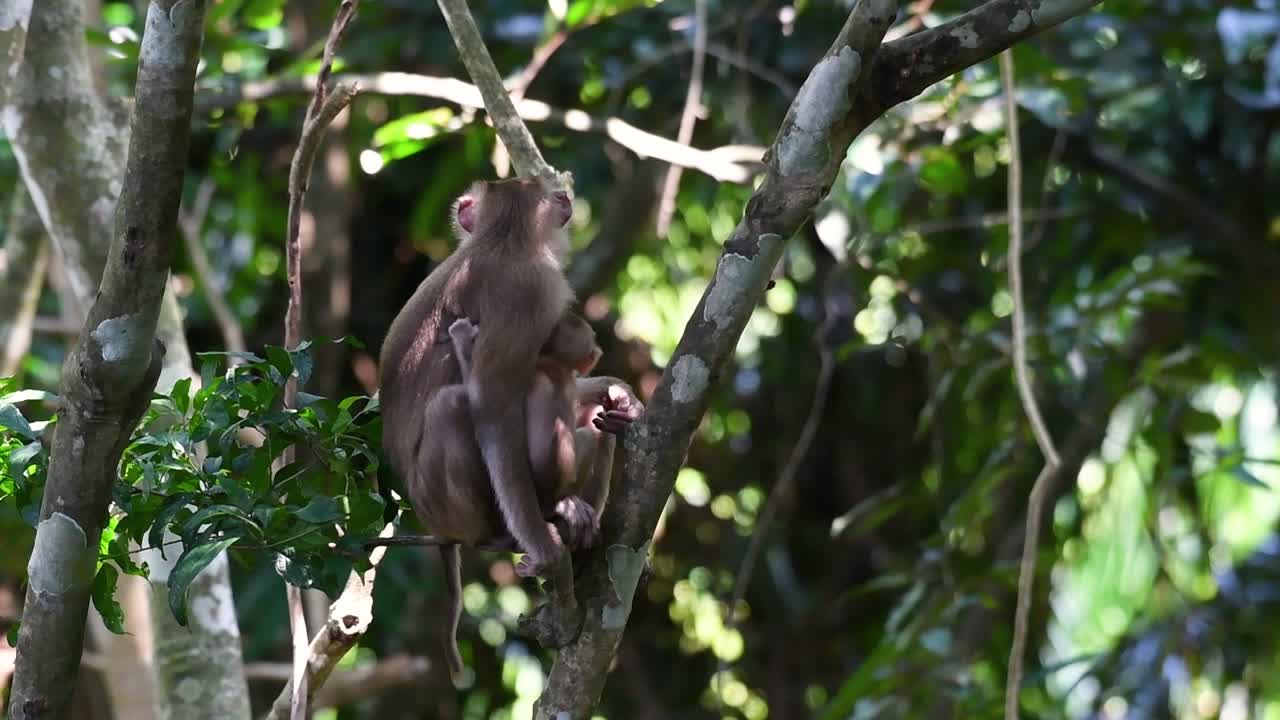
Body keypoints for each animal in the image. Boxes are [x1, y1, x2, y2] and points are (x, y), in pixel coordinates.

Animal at [378, 177, 643, 680]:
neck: (500, 238)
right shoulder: (531, 290)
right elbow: (490, 400)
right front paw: (545, 550)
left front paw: (618, 392)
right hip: (442, 504)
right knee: (453, 407)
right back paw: (511, 531)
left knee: (590, 426)